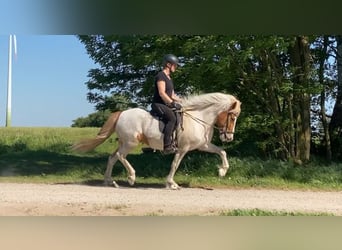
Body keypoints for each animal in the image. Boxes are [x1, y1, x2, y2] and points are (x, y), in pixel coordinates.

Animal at [73, 92, 242, 189]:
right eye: (233, 117)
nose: (229, 137)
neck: (199, 118)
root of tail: (121, 113)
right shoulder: (183, 148)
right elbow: (175, 165)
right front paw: (171, 184)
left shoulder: (203, 145)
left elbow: (222, 151)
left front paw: (222, 171)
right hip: (131, 143)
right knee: (121, 156)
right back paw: (131, 177)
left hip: (124, 142)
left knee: (112, 157)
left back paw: (110, 181)